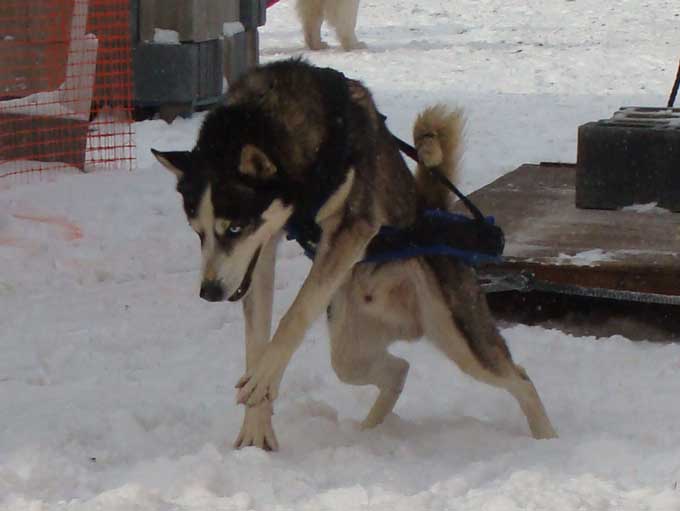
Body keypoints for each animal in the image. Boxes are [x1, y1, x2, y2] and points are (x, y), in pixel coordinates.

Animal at [151, 61, 556, 452]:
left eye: (234, 228)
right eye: (197, 231)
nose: (209, 291)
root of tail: (431, 207)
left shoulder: (351, 229)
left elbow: (295, 315)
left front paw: (264, 378)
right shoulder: (262, 251)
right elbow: (257, 341)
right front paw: (256, 428)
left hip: (461, 337)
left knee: (520, 378)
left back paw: (547, 440)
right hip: (351, 349)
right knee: (398, 369)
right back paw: (372, 430)